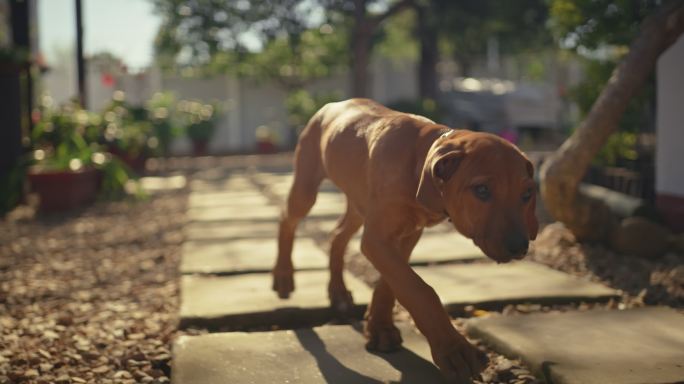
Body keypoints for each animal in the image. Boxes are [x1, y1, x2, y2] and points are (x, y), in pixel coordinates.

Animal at [272, 98, 536, 380]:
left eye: (527, 195)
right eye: (482, 190)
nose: (519, 247)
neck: (417, 163)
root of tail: (333, 104)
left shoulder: (408, 234)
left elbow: (393, 284)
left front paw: (380, 328)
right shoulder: (378, 239)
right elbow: (419, 290)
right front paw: (453, 349)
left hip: (358, 204)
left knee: (337, 235)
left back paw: (338, 293)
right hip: (306, 186)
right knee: (287, 219)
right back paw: (283, 276)